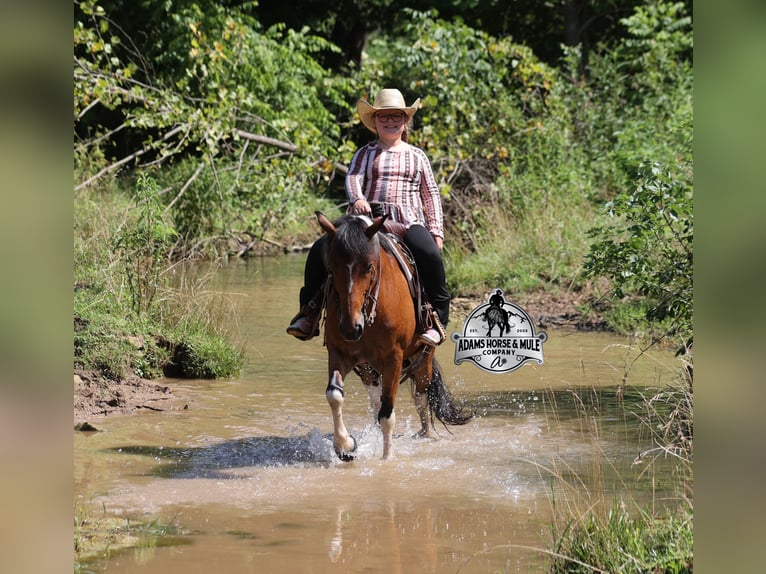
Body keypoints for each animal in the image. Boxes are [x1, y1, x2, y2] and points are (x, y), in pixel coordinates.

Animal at [316, 211, 471, 460]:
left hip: (423, 357)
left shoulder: (394, 358)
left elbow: (388, 413)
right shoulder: (339, 353)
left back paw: (426, 435)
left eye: (369, 266)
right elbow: (335, 395)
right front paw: (346, 446)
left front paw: (387, 460)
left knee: (421, 396)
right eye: (331, 266)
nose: (350, 328)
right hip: (368, 367)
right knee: (375, 399)